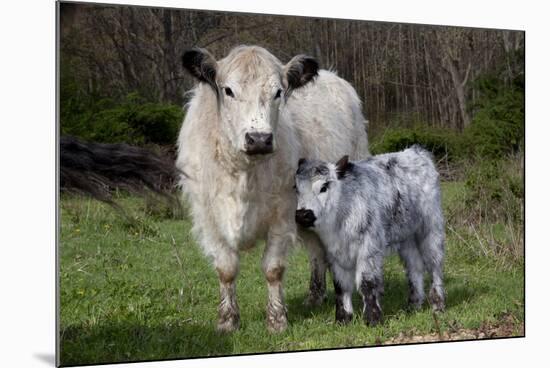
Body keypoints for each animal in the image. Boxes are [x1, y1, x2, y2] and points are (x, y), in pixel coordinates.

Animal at [178, 44, 370, 332]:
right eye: (228, 90)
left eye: (278, 92)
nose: (259, 139)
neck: (244, 175)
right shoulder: (209, 218)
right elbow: (226, 269)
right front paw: (227, 321)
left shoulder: (283, 214)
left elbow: (273, 268)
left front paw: (277, 320)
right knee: (317, 251)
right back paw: (315, 296)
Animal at [296, 145, 446, 326]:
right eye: (296, 189)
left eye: (324, 187)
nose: (303, 214)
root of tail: (416, 151)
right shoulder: (334, 253)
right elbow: (341, 286)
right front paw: (342, 319)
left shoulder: (369, 248)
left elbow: (367, 282)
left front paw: (373, 319)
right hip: (406, 236)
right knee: (414, 267)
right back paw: (414, 305)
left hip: (431, 228)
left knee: (434, 265)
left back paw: (438, 305)